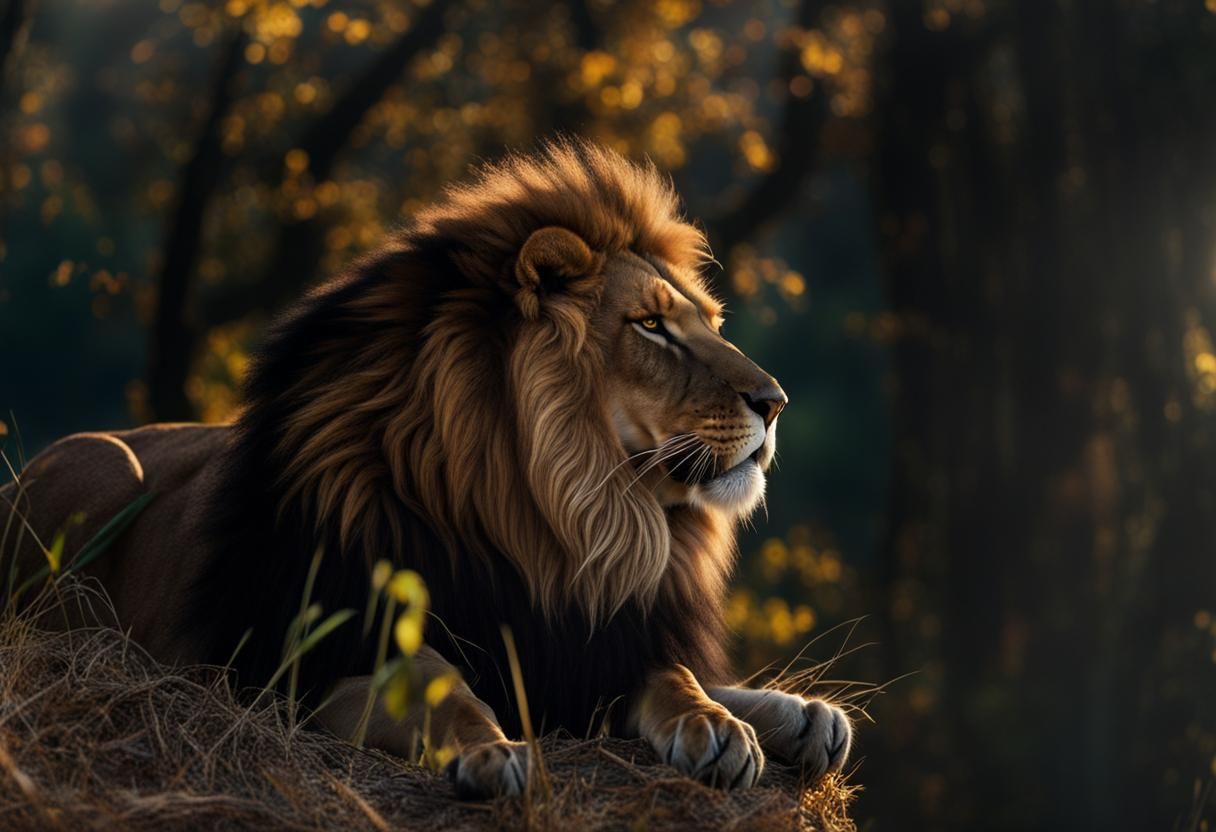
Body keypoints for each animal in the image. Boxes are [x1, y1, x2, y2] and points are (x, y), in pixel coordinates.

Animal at [1, 140, 851, 797]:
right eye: (649, 325)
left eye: (707, 324)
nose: (774, 402)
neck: (553, 521)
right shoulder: (293, 672)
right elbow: (438, 677)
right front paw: (492, 752)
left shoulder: (582, 642)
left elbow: (667, 671)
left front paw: (720, 722)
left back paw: (806, 715)